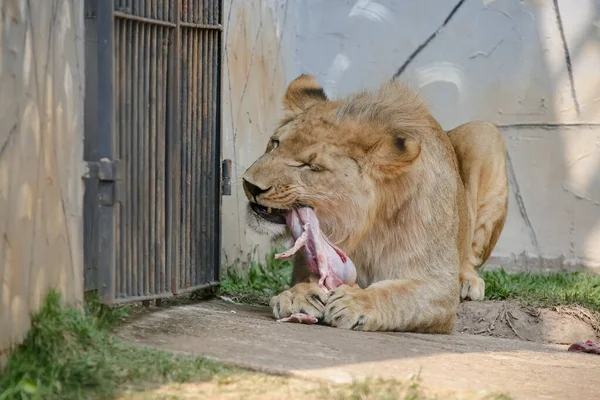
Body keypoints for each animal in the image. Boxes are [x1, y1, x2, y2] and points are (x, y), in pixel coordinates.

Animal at [241, 75, 508, 334]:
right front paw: (298, 295)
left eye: (312, 166)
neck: (364, 226)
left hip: (484, 134)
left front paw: (355, 303)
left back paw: (468, 281)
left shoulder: (438, 285)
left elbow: (399, 295)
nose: (249, 185)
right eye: (275, 143)